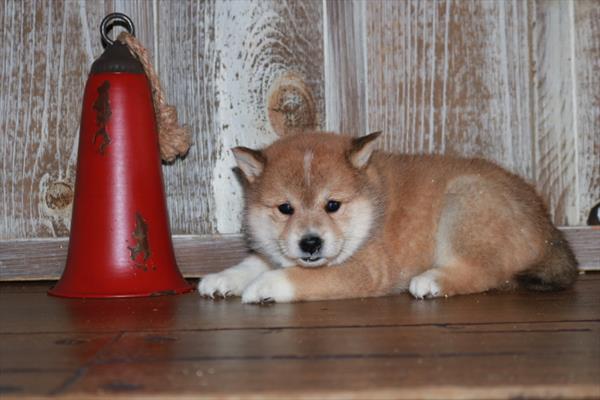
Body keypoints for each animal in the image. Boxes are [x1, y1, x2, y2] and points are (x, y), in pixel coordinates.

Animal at [198, 131, 576, 304]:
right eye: (285, 208)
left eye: (332, 205)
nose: (310, 243)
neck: (370, 209)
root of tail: (549, 229)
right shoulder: (274, 250)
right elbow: (253, 262)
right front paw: (221, 278)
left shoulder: (364, 270)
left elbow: (296, 276)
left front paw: (263, 286)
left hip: (464, 199)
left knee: (487, 273)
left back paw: (432, 281)